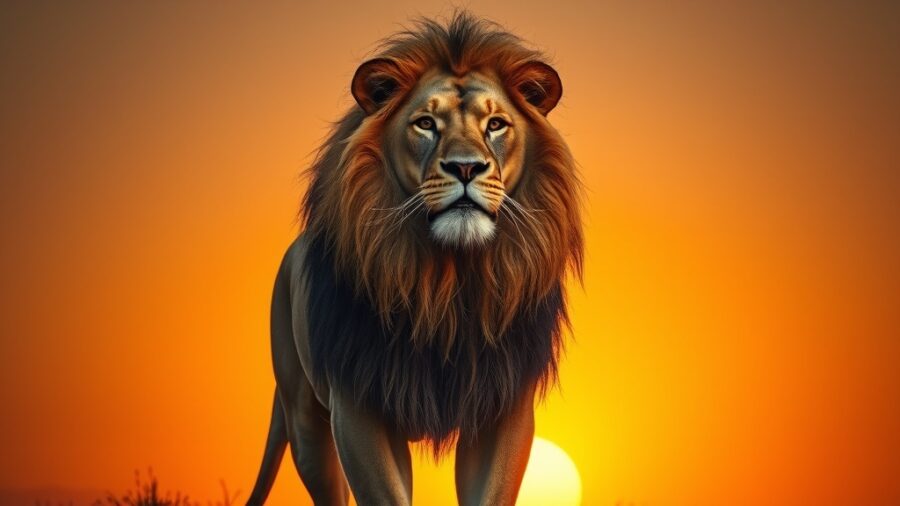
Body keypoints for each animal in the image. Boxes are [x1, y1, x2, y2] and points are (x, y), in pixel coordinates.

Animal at [247, 11, 583, 506]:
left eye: (496, 125)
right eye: (425, 123)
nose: (466, 167)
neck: (446, 281)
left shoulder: (504, 408)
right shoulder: (357, 407)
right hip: (306, 421)